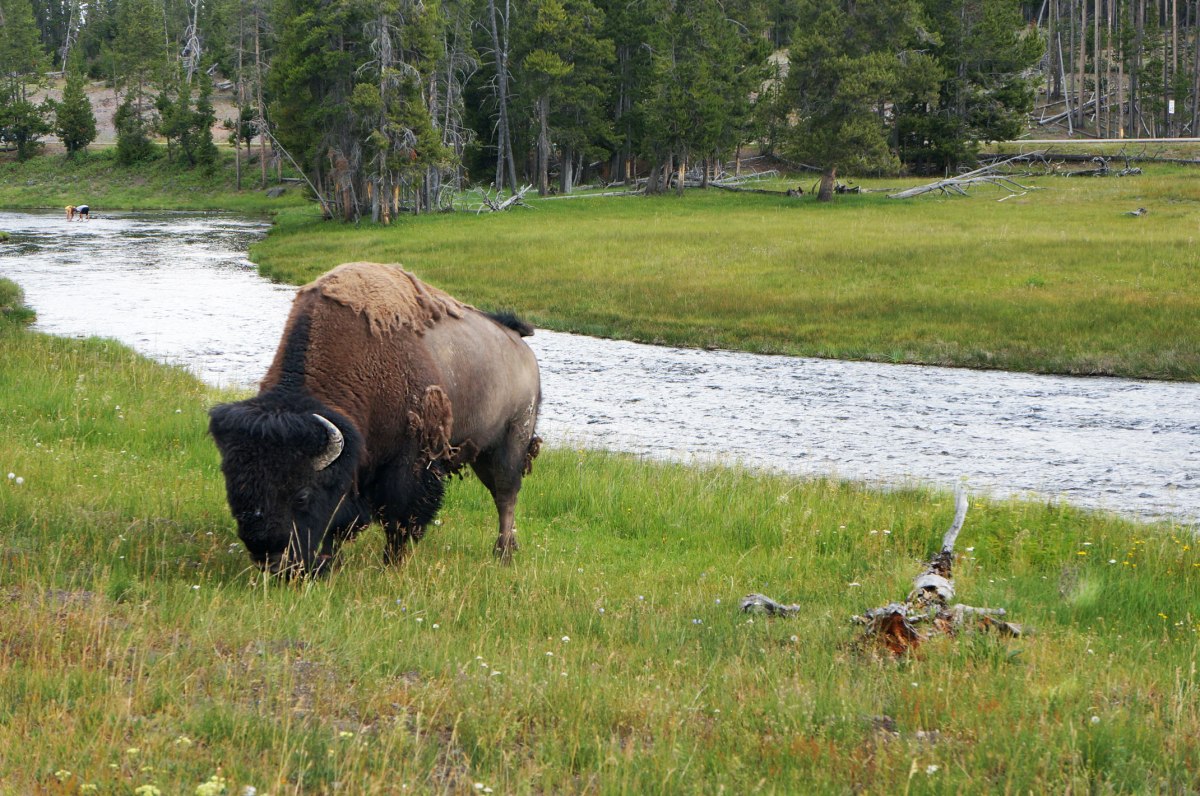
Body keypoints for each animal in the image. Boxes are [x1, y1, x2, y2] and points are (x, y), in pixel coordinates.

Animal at [209, 262, 541, 575]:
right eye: (235, 492)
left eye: (302, 495)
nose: (275, 563)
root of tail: (520, 346)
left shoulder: (410, 463)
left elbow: (400, 520)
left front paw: (391, 565)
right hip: (481, 452)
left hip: (511, 441)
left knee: (506, 494)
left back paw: (503, 554)